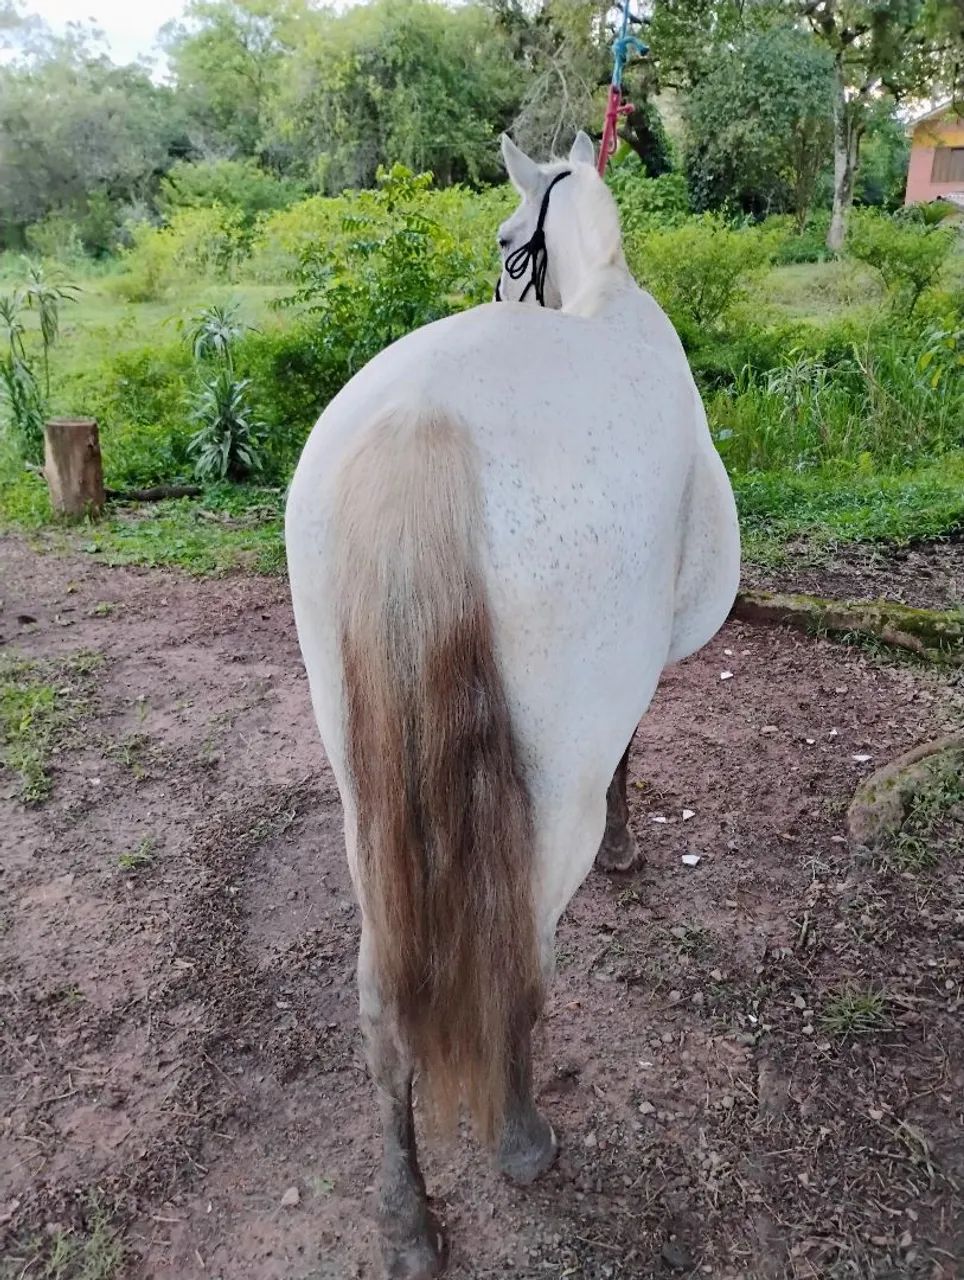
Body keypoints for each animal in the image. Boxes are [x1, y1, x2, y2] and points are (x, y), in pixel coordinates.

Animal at [285, 129, 740, 1279]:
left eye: (502, 241)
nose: (493, 277)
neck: (608, 295)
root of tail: (422, 421)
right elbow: (630, 750)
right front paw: (627, 849)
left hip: (362, 792)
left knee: (381, 1000)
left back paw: (407, 1221)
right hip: (543, 804)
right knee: (519, 963)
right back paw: (523, 1140)